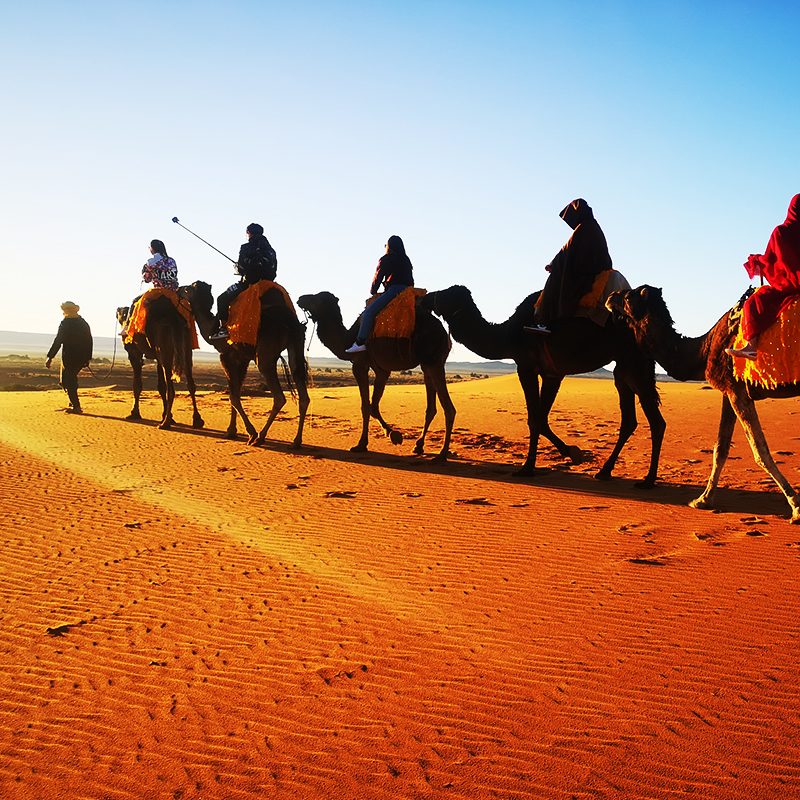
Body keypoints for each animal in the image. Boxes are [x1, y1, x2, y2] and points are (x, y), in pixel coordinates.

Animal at [119, 294, 208, 432]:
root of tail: (175, 316)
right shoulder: (156, 356)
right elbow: (161, 386)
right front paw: (168, 415)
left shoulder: (134, 353)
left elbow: (137, 384)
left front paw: (134, 413)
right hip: (186, 348)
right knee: (190, 383)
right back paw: (197, 420)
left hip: (164, 343)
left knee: (171, 388)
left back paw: (165, 424)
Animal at [182, 280, 310, 450]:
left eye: (187, 289)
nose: (177, 289)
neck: (212, 327)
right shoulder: (242, 359)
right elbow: (235, 393)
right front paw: (230, 431)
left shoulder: (226, 355)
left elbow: (233, 397)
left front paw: (250, 433)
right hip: (295, 347)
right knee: (303, 393)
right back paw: (296, 441)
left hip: (264, 356)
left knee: (279, 397)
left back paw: (260, 437)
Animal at [296, 290, 456, 460]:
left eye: (316, 298)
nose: (300, 298)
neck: (347, 340)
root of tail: (444, 333)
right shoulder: (381, 370)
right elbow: (374, 406)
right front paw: (393, 434)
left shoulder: (360, 364)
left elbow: (366, 406)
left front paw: (363, 444)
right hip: (427, 364)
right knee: (431, 408)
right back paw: (418, 446)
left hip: (433, 361)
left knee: (449, 408)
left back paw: (442, 454)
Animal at [422, 288, 664, 488]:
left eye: (445, 293)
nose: (425, 297)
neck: (508, 334)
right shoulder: (552, 373)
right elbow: (543, 418)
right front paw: (574, 453)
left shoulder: (526, 368)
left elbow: (534, 419)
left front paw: (527, 468)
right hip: (622, 369)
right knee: (629, 420)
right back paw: (605, 471)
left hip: (633, 362)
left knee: (656, 421)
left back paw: (648, 480)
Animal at [608, 284, 800, 520]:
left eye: (628, 296)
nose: (610, 297)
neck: (704, 349)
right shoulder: (729, 391)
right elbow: (721, 448)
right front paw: (703, 500)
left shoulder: (737, 390)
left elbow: (759, 451)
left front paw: (796, 505)